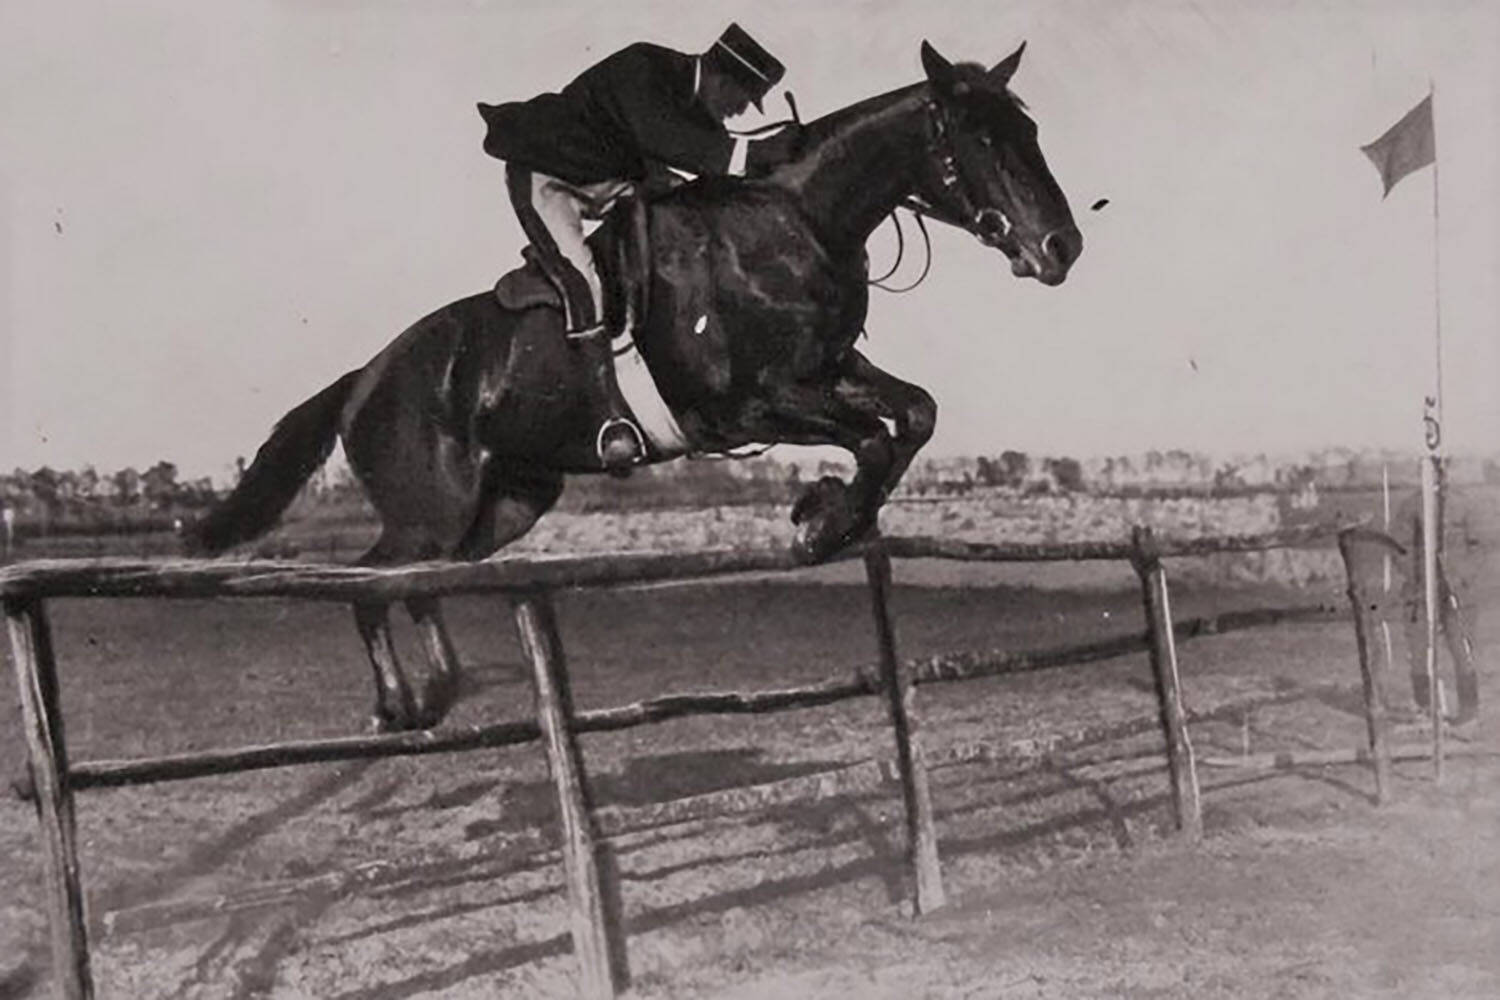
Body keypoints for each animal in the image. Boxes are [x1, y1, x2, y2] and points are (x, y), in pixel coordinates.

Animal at [189, 41, 1083, 731]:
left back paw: (442, 686)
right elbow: (868, 436)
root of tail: (362, 378)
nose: (1061, 246)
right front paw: (821, 519)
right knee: (371, 587)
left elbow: (914, 415)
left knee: (426, 584)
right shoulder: (746, 406)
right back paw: (401, 705)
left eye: (1031, 129)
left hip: (506, 504)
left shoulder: (826, 373)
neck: (793, 227)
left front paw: (829, 510)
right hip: (427, 508)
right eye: (980, 138)